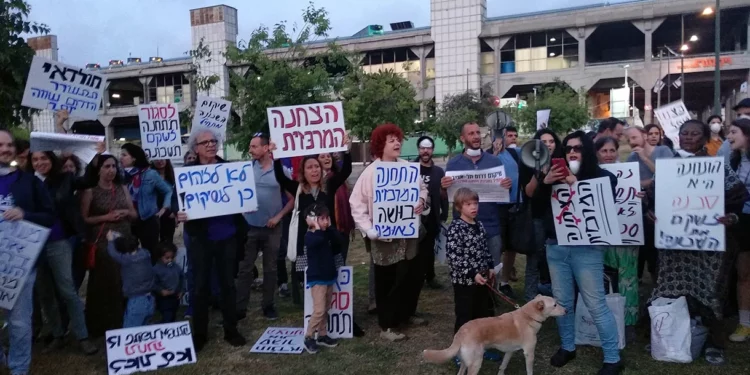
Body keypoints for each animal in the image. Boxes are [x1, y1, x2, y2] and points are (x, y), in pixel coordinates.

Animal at [426, 296, 568, 375]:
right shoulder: (529, 353)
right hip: (475, 363)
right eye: (555, 305)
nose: (567, 310)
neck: (528, 316)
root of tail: (461, 331)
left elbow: (502, 366)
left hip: (465, 362)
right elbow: (529, 371)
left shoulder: (510, 351)